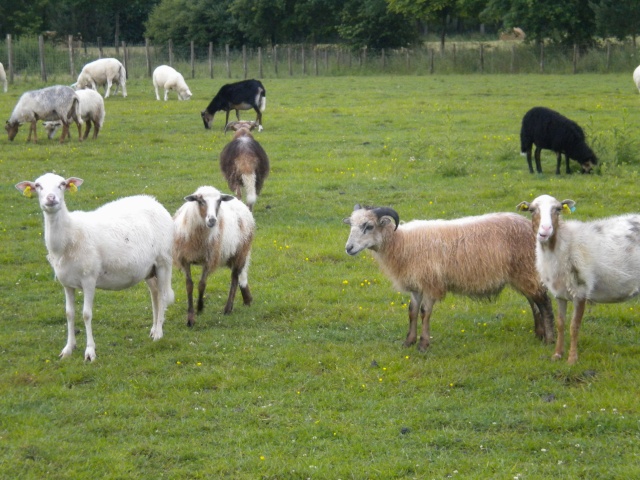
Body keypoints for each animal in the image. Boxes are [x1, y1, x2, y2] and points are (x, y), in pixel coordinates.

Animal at [14, 172, 174, 360]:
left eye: (62, 184)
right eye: (38, 185)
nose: (51, 198)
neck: (69, 235)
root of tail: (153, 201)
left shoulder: (89, 279)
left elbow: (86, 314)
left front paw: (90, 351)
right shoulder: (66, 283)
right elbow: (69, 314)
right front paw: (68, 349)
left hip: (163, 261)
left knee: (163, 296)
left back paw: (158, 333)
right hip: (149, 269)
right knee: (155, 295)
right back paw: (154, 329)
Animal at [175, 186, 258, 324]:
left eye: (219, 201)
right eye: (200, 201)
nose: (212, 220)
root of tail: (239, 202)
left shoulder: (209, 260)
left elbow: (202, 284)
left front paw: (200, 307)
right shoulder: (184, 260)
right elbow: (189, 285)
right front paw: (190, 318)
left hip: (241, 251)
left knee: (235, 277)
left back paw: (228, 308)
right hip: (230, 255)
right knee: (241, 274)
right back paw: (247, 299)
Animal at [344, 204, 556, 350]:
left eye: (369, 226)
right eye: (352, 225)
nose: (348, 248)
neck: (401, 242)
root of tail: (531, 227)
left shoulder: (430, 283)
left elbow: (424, 312)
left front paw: (423, 344)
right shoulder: (416, 286)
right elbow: (412, 312)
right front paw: (408, 342)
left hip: (526, 270)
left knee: (543, 301)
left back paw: (549, 339)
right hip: (522, 274)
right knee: (533, 302)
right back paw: (539, 334)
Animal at [516, 195, 640, 364]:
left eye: (558, 209)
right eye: (531, 210)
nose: (545, 230)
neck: (563, 243)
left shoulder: (580, 290)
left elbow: (574, 326)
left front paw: (572, 359)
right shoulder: (560, 293)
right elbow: (561, 324)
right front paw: (557, 354)